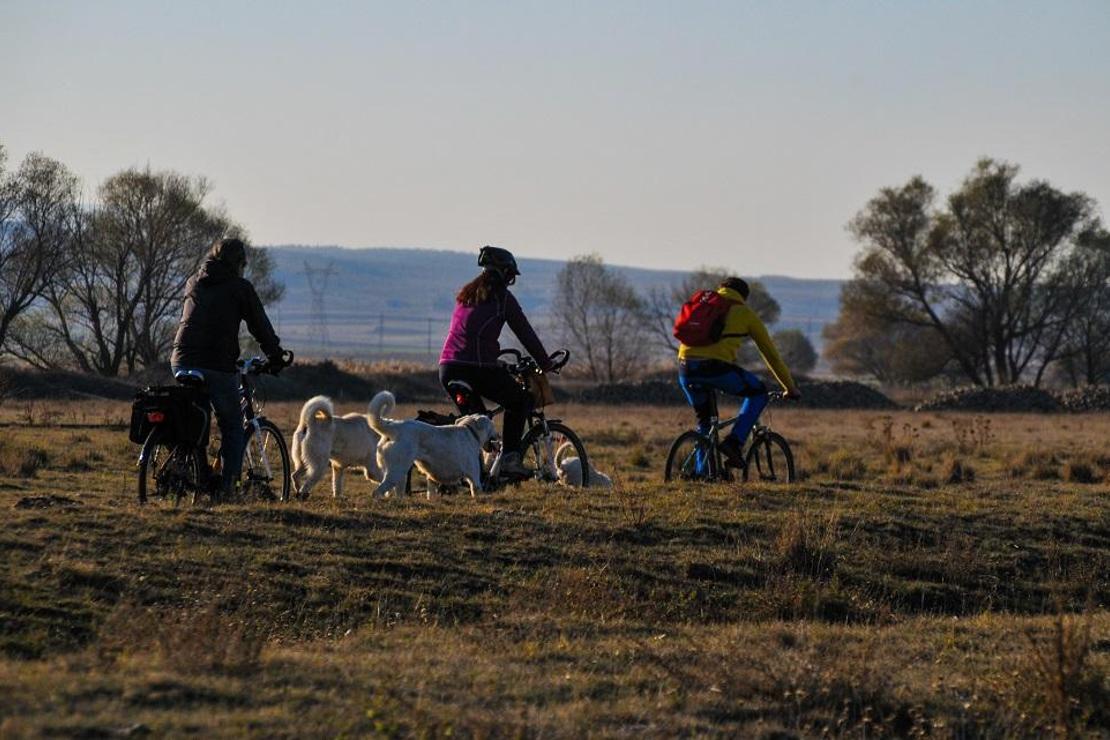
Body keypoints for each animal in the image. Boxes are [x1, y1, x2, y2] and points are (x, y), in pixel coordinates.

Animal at [366, 388, 497, 497]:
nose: (498, 437)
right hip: (397, 471)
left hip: (399, 475)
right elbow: (476, 492)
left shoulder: (432, 479)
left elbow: (432, 494)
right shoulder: (474, 478)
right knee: (377, 492)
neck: (470, 431)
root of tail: (393, 427)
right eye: (493, 426)